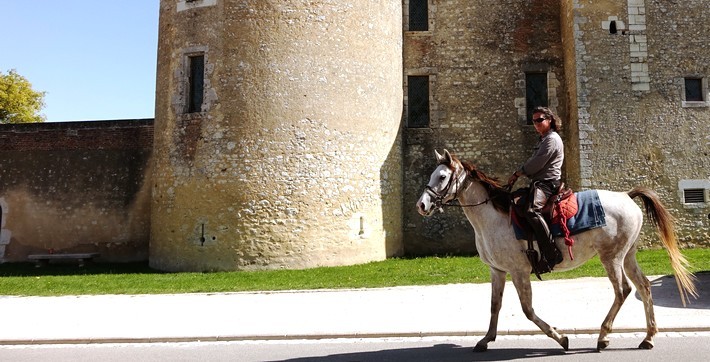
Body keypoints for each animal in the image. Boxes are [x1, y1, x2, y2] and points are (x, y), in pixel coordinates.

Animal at [414, 148, 700, 352]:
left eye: (442, 177)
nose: (422, 205)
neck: (494, 217)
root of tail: (626, 196)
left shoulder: (519, 271)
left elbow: (528, 311)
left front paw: (561, 337)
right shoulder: (498, 271)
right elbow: (495, 306)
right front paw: (485, 340)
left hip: (612, 257)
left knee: (623, 291)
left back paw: (603, 336)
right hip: (627, 256)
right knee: (644, 287)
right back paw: (648, 337)